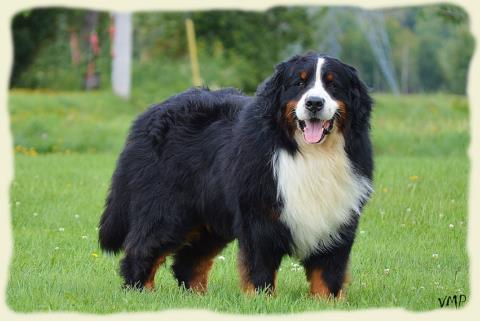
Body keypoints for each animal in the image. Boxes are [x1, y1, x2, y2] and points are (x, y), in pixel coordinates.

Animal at [98, 51, 376, 296]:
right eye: (299, 83)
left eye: (333, 85)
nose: (314, 103)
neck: (310, 154)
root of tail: (148, 113)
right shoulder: (259, 217)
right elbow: (259, 269)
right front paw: (261, 301)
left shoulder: (336, 220)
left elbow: (328, 273)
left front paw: (326, 302)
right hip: (166, 211)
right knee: (143, 249)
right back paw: (141, 293)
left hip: (209, 218)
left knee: (190, 261)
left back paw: (198, 297)